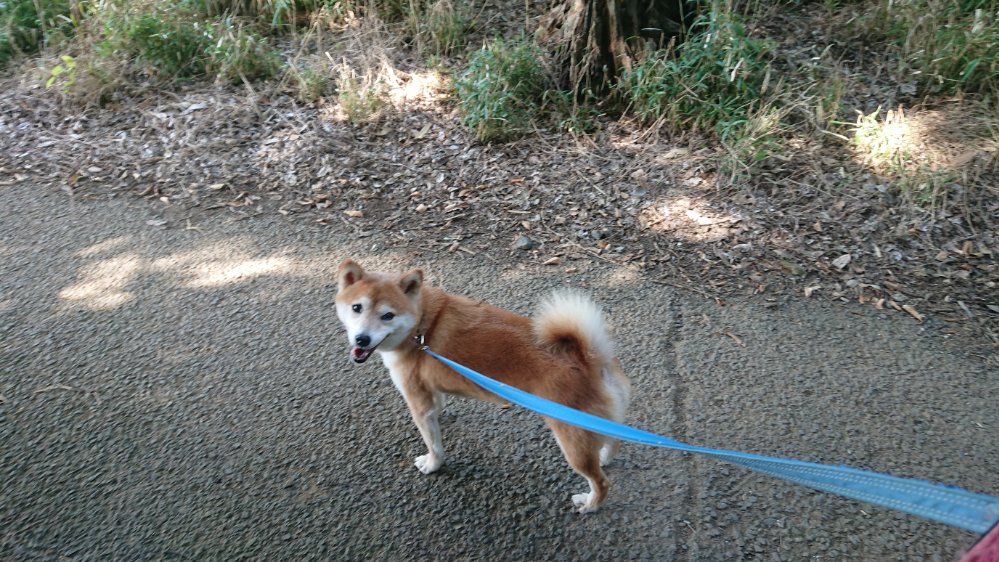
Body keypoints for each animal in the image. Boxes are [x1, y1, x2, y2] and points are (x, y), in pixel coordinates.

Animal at [334, 259, 631, 513]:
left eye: (388, 315)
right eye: (357, 308)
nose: (361, 339)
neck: (421, 327)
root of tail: (590, 359)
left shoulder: (417, 400)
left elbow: (433, 443)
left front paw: (433, 464)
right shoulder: (430, 390)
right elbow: (438, 408)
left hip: (571, 439)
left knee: (601, 481)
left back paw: (590, 504)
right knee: (614, 439)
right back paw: (605, 458)